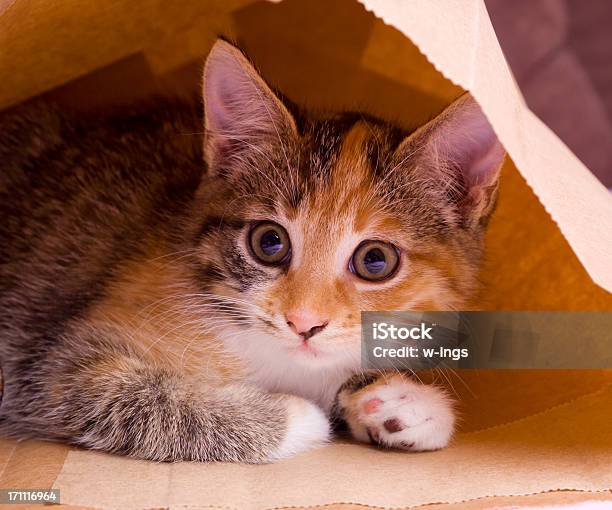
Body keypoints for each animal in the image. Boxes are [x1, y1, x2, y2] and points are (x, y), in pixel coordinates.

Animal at [0, 39, 504, 462]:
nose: (303, 323)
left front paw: (404, 402)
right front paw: (299, 418)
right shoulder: (49, 364)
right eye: (269, 242)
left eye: (375, 260)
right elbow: (132, 400)